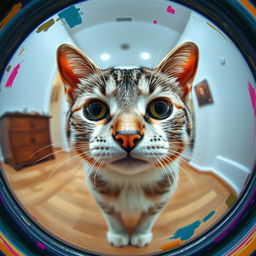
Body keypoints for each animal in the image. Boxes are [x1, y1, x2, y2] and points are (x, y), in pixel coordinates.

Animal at [57, 41, 199, 247]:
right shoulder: (97, 191)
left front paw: (140, 234)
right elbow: (111, 214)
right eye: (95, 109)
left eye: (160, 108)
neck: (131, 183)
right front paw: (119, 234)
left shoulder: (165, 192)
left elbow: (149, 215)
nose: (127, 136)